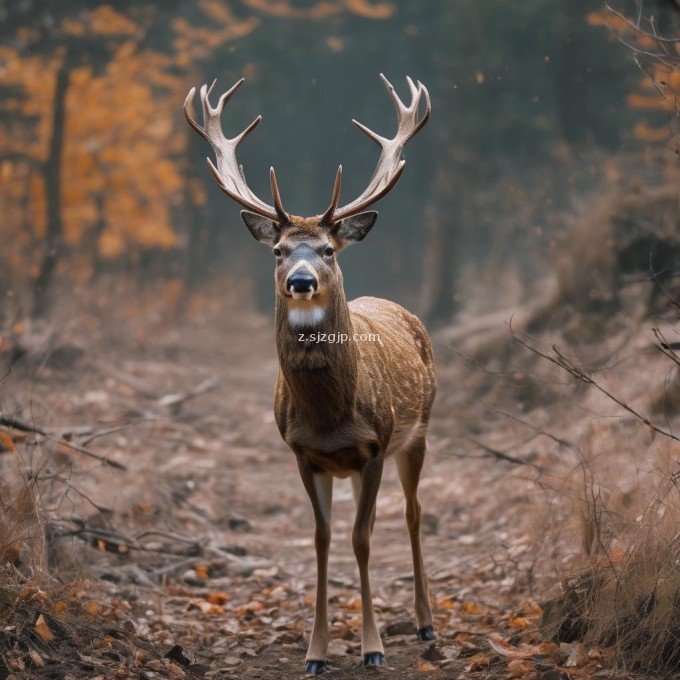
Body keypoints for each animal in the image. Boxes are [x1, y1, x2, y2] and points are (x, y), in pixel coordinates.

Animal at [183, 74, 432, 676]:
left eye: (327, 250)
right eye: (277, 250)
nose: (300, 280)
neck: (329, 416)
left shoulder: (374, 445)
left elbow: (361, 540)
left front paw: (372, 648)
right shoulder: (301, 452)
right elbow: (322, 539)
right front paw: (316, 651)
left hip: (420, 429)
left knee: (413, 515)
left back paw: (425, 622)